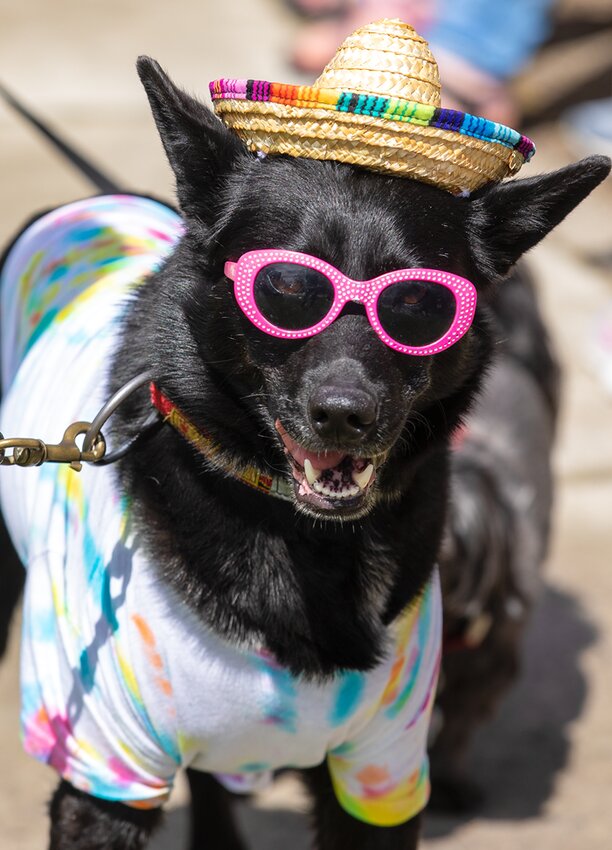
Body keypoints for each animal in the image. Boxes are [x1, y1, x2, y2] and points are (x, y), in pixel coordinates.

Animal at [0, 53, 608, 848]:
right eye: (287, 287)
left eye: (420, 306)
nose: (345, 415)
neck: (298, 540)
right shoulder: (107, 768)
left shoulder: (380, 772)